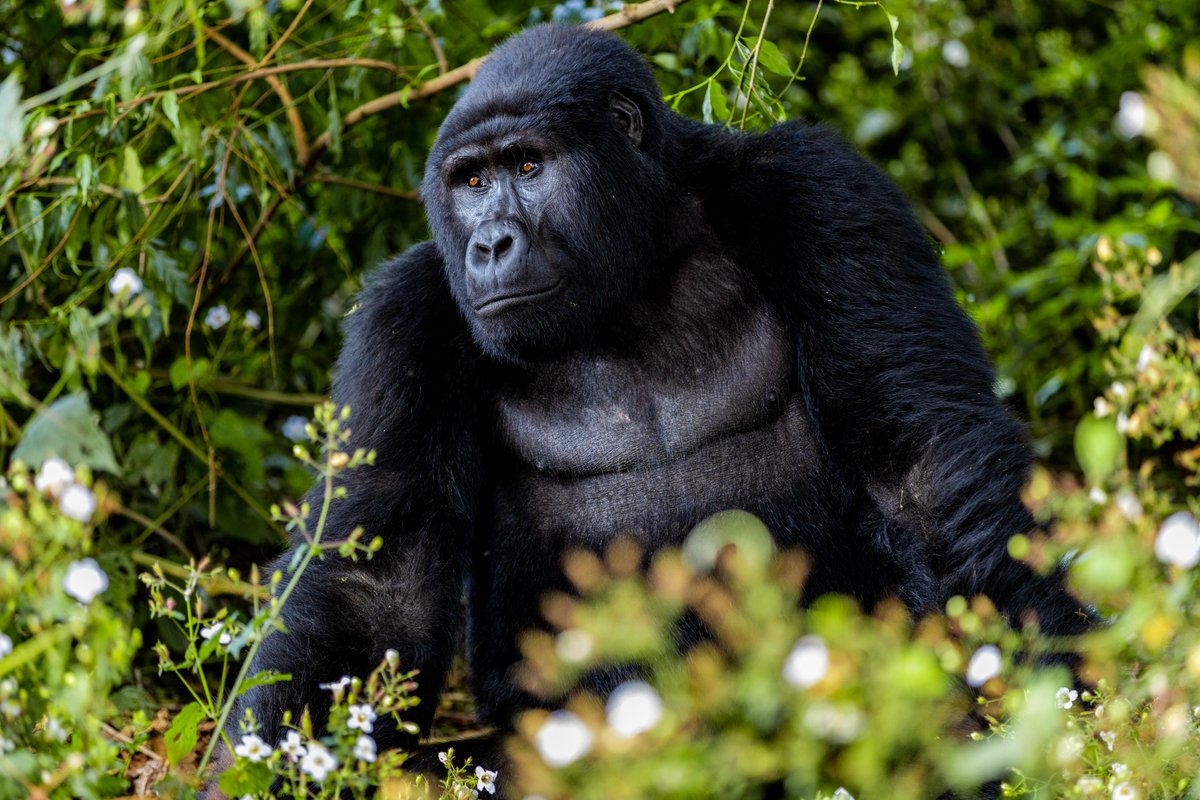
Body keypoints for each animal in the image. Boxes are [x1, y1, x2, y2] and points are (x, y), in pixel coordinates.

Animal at [223, 21, 1089, 791]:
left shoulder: (820, 189)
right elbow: (374, 588)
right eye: (470, 182)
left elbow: (920, 469)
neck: (641, 263)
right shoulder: (406, 316)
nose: (491, 244)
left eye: (528, 166)